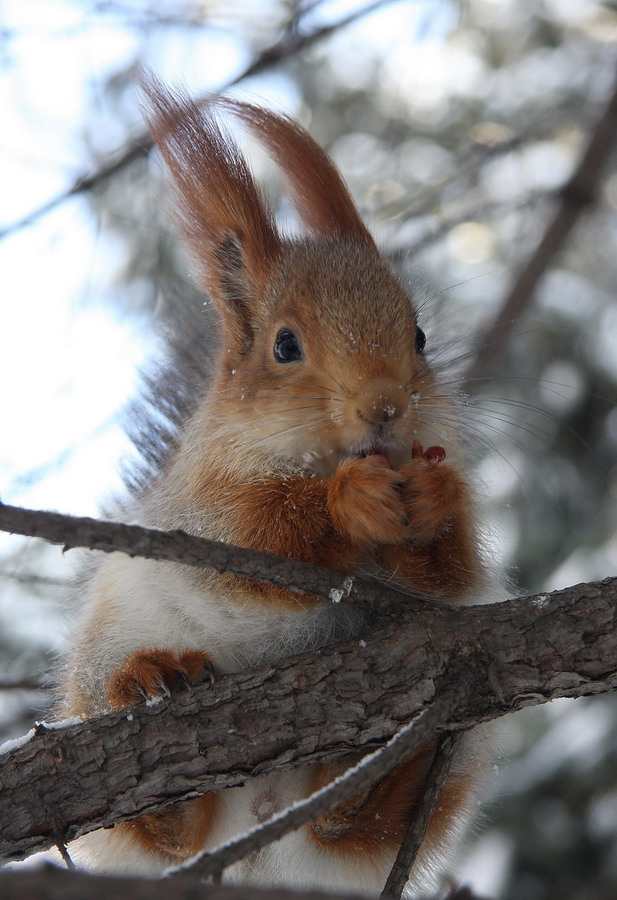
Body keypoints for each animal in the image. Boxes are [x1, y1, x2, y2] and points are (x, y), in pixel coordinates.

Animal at [60, 81, 498, 896]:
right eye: (285, 346)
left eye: (419, 337)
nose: (387, 407)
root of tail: (256, 836)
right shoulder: (202, 509)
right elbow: (258, 536)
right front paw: (347, 503)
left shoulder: (450, 576)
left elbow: (452, 575)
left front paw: (433, 500)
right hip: (98, 668)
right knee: (158, 834)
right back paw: (150, 685)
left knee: (351, 827)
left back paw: (366, 772)